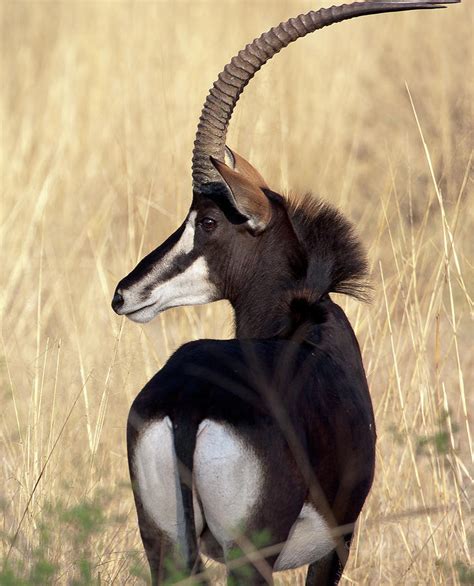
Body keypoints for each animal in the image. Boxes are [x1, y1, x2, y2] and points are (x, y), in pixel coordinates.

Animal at [111, 1, 460, 584]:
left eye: (208, 220)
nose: (125, 294)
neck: (306, 320)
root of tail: (187, 402)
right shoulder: (338, 541)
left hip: (165, 545)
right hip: (250, 554)